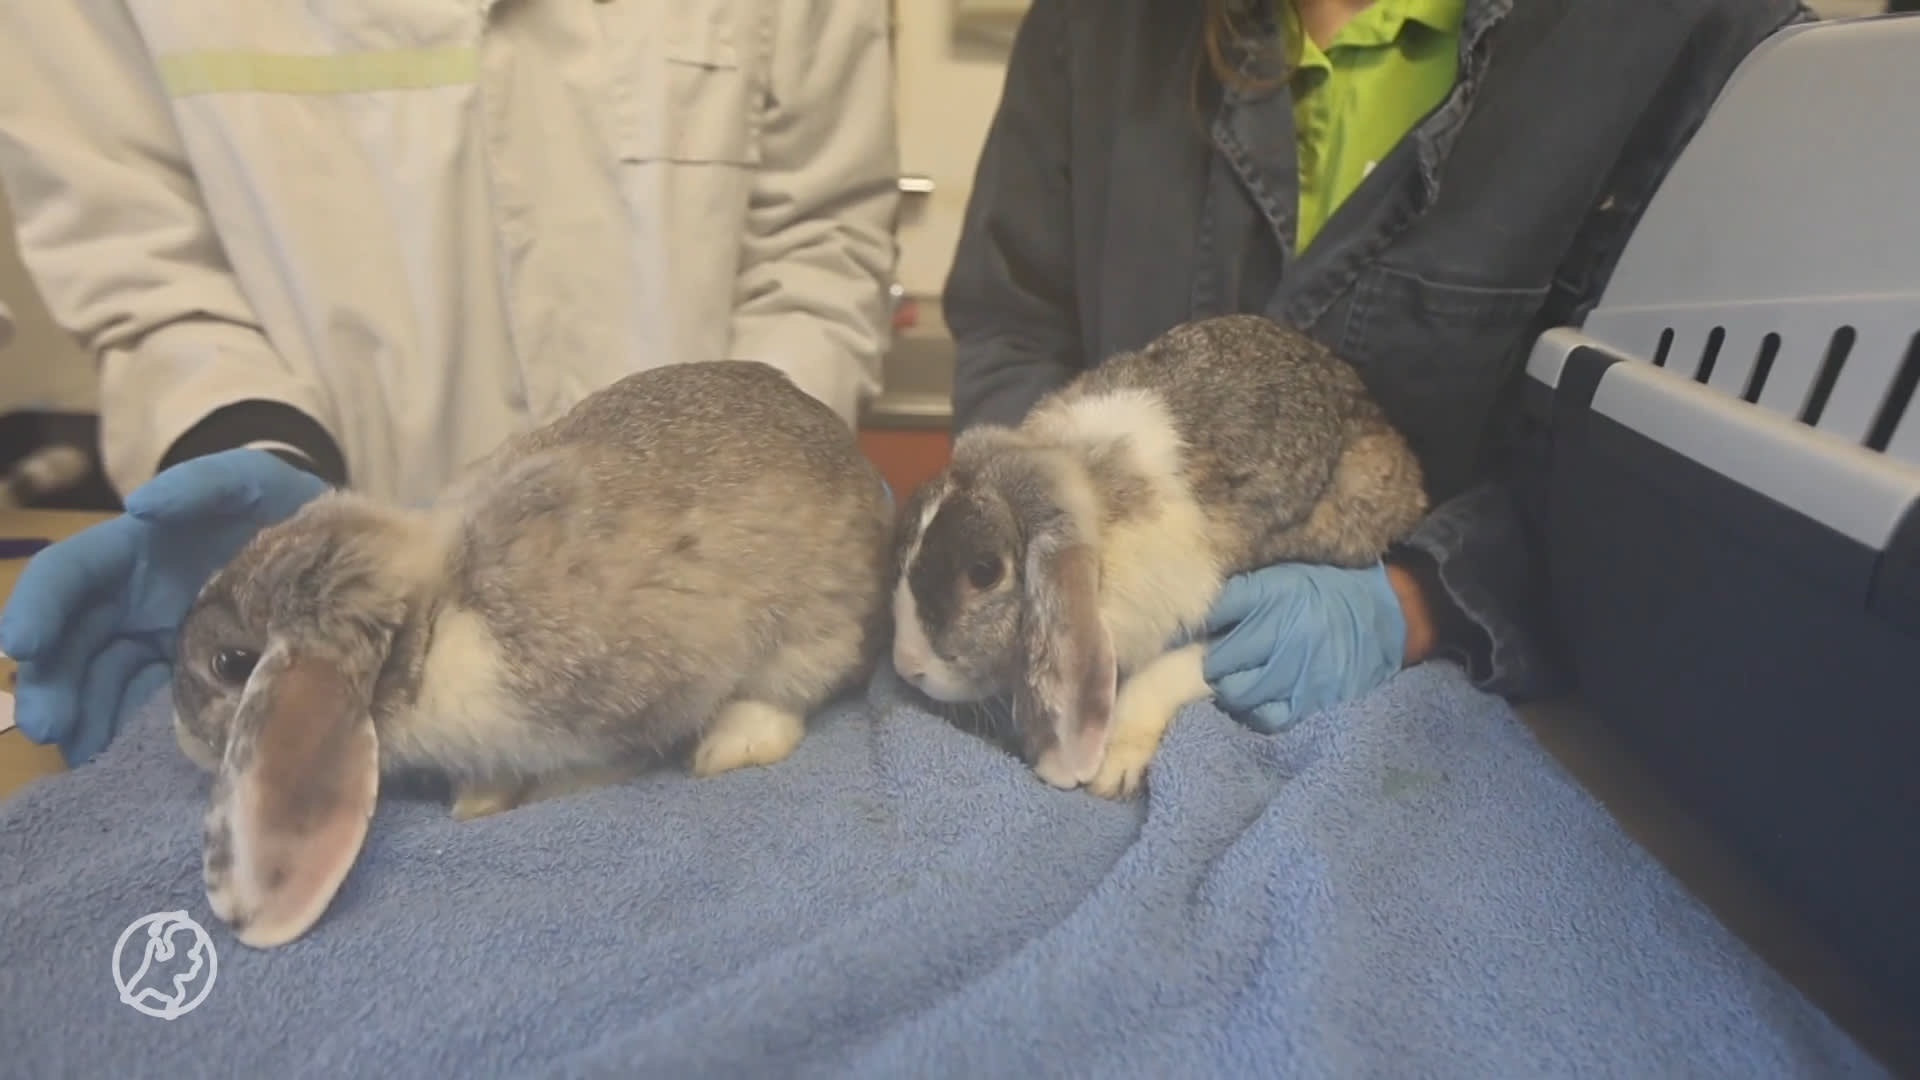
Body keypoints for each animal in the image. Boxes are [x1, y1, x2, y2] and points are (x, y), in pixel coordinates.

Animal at [172, 359, 890, 941]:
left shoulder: (625, 699)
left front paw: (535, 796)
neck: (429, 620)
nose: (179, 735)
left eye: (230, 664)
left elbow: (607, 758)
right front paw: (476, 801)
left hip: (807, 629)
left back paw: (729, 748)